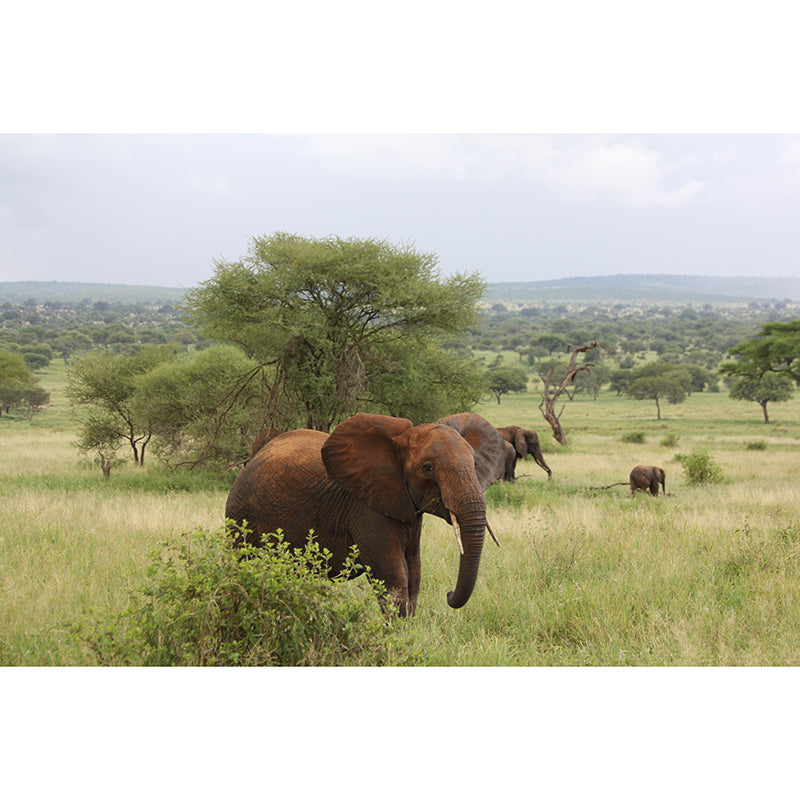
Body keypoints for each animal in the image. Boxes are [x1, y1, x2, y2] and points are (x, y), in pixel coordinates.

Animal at [225, 412, 492, 616]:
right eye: (428, 468)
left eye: (475, 464)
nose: (448, 594)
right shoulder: (366, 508)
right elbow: (393, 579)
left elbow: (414, 574)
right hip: (240, 517)